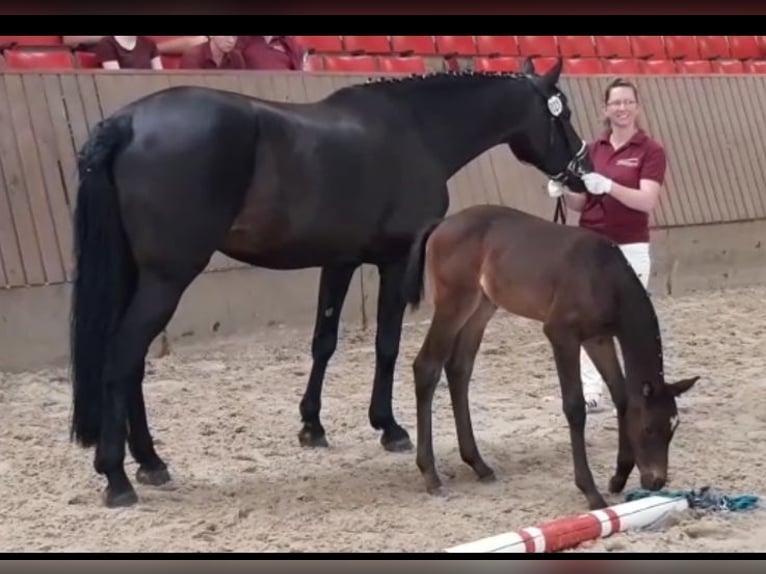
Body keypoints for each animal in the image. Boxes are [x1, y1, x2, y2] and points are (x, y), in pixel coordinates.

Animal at [404, 205, 700, 510]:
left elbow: (622, 396)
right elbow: (575, 408)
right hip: (454, 302)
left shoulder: (597, 339)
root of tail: (443, 224)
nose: (656, 481)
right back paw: (431, 474)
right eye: (649, 428)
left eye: (674, 427)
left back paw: (478, 464)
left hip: (482, 306)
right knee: (427, 366)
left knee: (459, 368)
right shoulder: (562, 335)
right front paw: (591, 492)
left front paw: (618, 478)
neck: (602, 275)